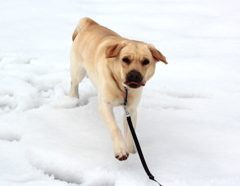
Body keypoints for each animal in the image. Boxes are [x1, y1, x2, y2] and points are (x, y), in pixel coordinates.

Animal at [69, 17, 167, 161]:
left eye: (146, 61)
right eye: (125, 59)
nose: (134, 74)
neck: (123, 88)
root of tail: (90, 23)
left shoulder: (131, 110)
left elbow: (131, 135)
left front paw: (132, 151)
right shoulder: (105, 105)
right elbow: (115, 128)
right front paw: (121, 150)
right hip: (78, 71)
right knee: (74, 83)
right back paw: (72, 98)